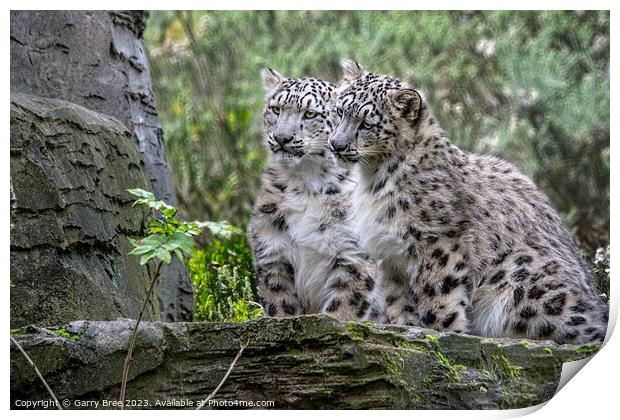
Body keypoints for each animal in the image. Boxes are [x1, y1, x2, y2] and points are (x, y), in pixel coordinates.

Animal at [249, 69, 380, 322]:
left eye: (310, 114)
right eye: (276, 109)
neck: (304, 182)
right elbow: (281, 306)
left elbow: (344, 307)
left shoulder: (352, 254)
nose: (281, 137)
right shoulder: (273, 252)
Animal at [326, 60, 608, 344]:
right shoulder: (389, 255)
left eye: (367, 123)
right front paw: (406, 328)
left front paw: (443, 332)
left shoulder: (436, 241)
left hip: (521, 275)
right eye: (339, 111)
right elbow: (397, 301)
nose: (336, 144)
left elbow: (437, 294)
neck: (371, 180)